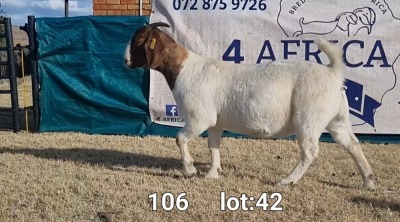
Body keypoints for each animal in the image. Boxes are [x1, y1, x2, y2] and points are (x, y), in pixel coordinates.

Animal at [124, 22, 376, 189]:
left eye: (138, 41)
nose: (125, 61)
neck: (185, 68)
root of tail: (333, 73)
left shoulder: (199, 118)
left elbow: (180, 138)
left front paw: (190, 169)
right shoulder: (215, 122)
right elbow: (213, 146)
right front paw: (213, 173)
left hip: (309, 118)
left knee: (310, 151)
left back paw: (287, 180)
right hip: (337, 119)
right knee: (352, 144)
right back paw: (368, 182)